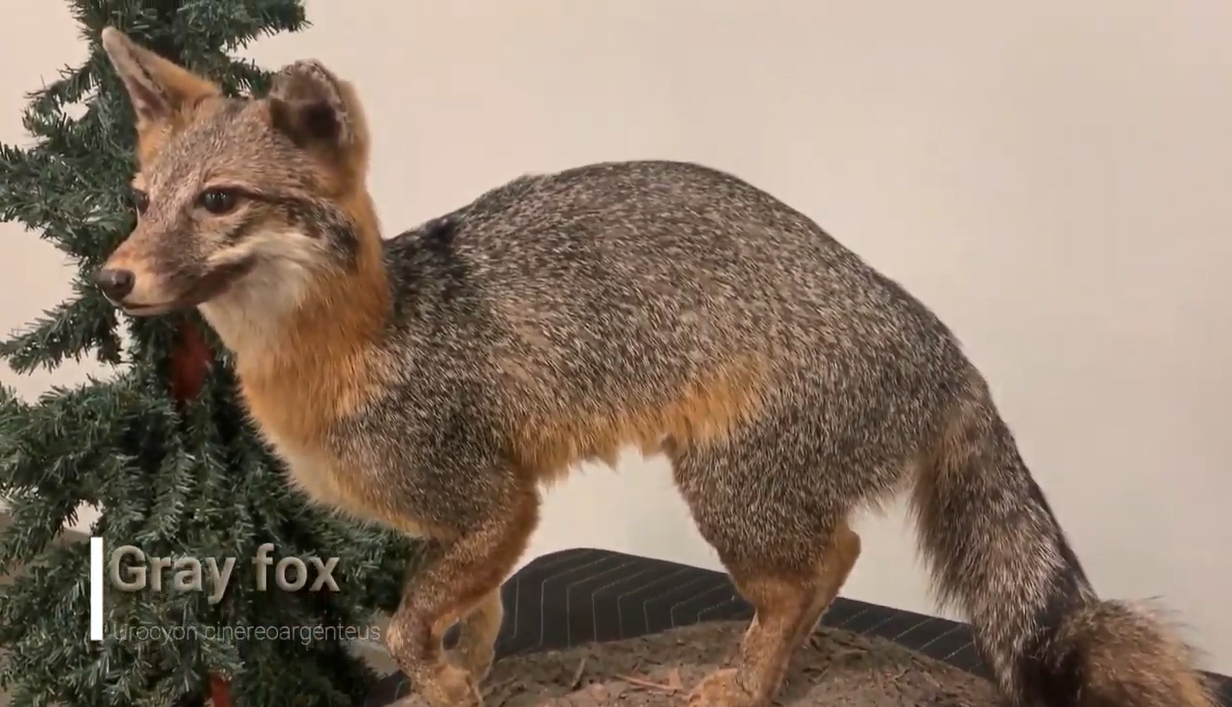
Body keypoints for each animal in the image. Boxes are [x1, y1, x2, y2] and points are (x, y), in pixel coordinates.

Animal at [101, 26, 1217, 707]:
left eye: (220, 202)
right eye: (139, 201)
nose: (112, 280)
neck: (367, 338)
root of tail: (941, 340)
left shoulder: (492, 501)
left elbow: (412, 621)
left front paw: (442, 676)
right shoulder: (477, 529)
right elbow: (473, 617)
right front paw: (465, 678)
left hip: (723, 489)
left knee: (826, 560)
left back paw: (751, 678)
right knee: (831, 560)